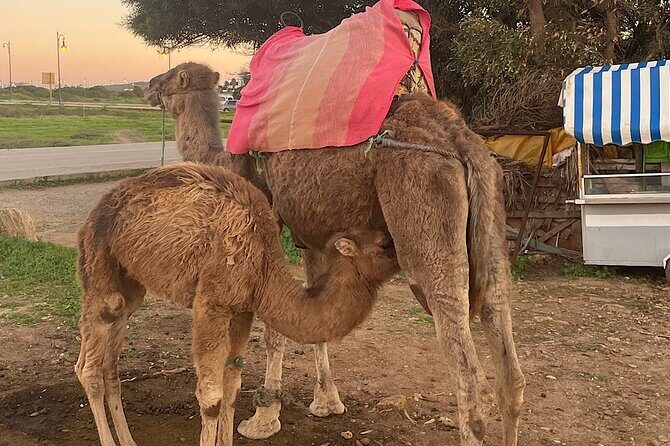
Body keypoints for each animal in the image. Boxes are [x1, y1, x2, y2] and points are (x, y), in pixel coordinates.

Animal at [75, 162, 398, 446]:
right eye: (384, 244)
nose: (402, 254)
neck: (263, 266)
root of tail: (94, 213)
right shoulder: (212, 305)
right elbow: (211, 398)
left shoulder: (243, 309)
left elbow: (231, 389)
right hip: (100, 265)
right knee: (89, 367)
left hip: (129, 284)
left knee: (109, 365)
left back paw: (128, 440)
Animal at [146, 63, 526, 446]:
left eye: (170, 78)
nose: (148, 85)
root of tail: (461, 142)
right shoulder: (313, 240)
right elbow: (315, 312)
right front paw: (326, 401)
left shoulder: (268, 217)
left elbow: (273, 328)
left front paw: (263, 416)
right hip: (492, 221)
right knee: (507, 357)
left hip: (425, 217)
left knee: (469, 375)